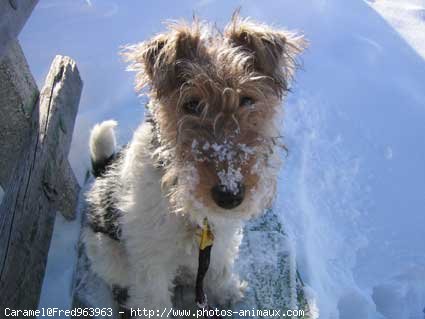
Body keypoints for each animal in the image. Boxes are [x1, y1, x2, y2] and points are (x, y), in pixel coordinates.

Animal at [83, 13, 304, 318]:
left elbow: (219, 271)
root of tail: (102, 169)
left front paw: (228, 293)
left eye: (247, 99)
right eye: (191, 104)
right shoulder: (151, 261)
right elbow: (154, 302)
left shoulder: (220, 240)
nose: (228, 196)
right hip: (109, 254)